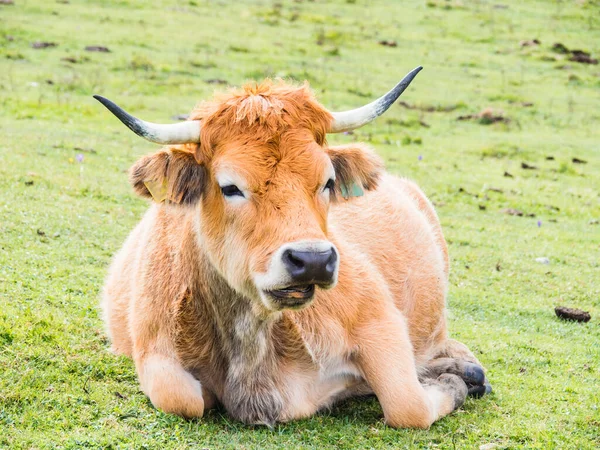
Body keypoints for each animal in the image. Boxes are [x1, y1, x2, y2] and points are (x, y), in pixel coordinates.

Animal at [96, 67, 490, 428]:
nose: (313, 260)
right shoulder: (154, 351)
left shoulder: (380, 321)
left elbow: (408, 406)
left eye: (328, 181)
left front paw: (453, 380)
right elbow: (182, 398)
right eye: (230, 187)